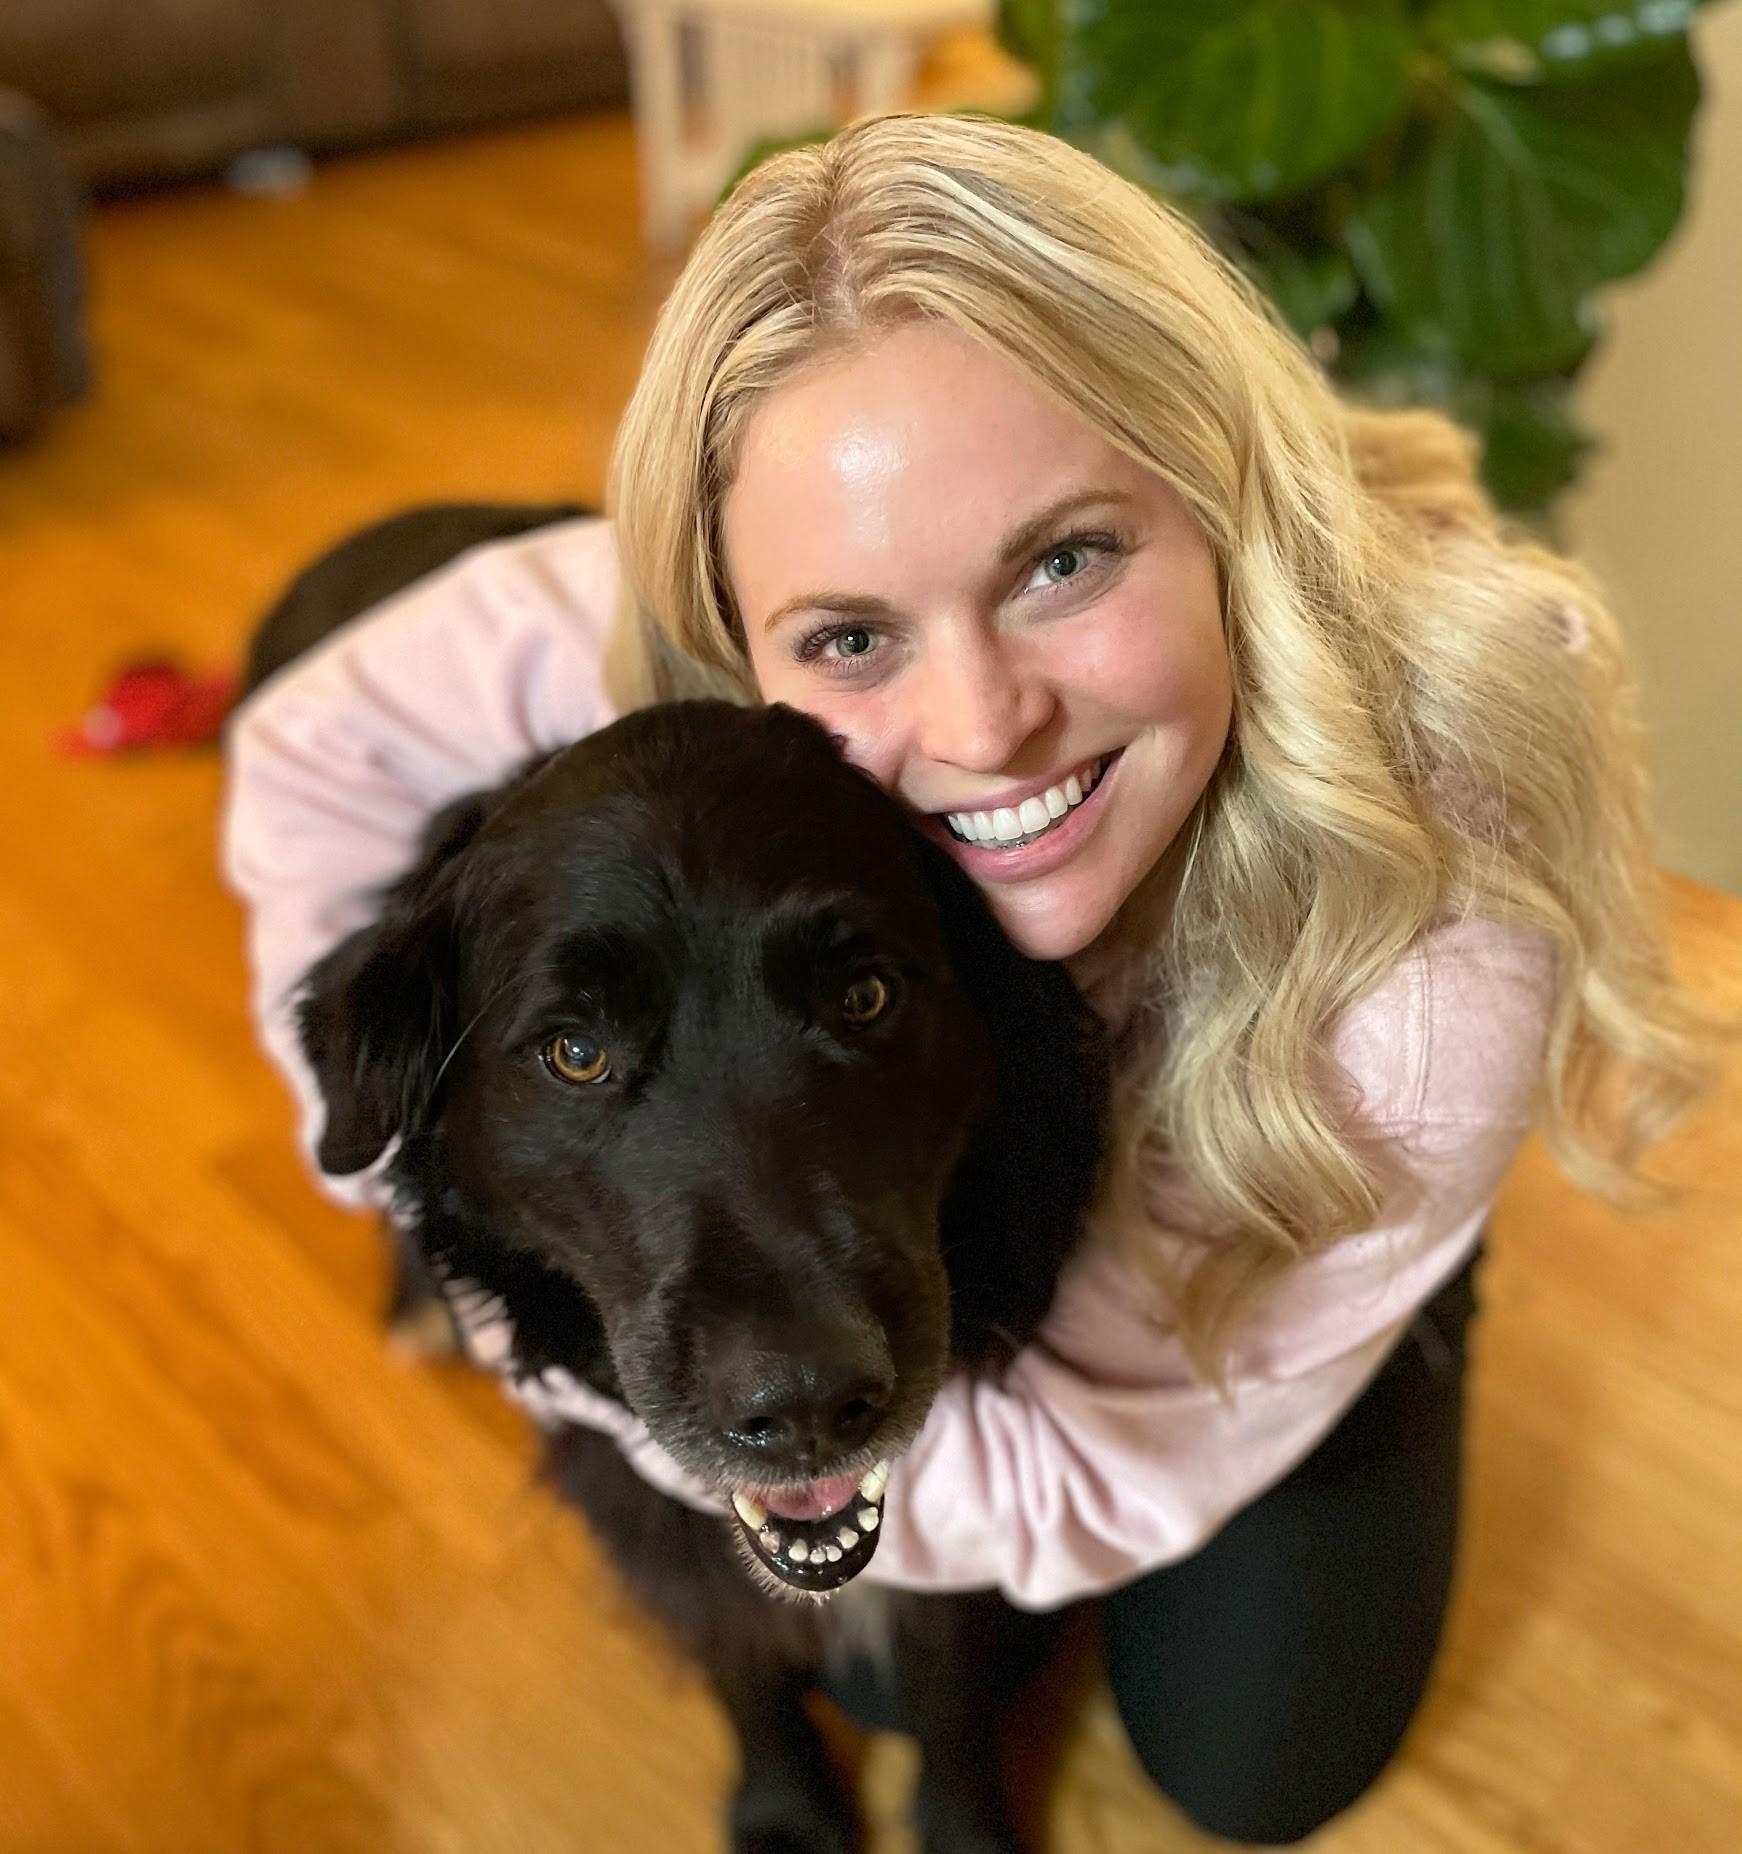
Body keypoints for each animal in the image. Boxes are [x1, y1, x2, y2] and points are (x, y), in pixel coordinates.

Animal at [252, 507, 1111, 1854]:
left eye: (865, 994)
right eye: (576, 1052)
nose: (806, 1405)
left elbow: (948, 1677)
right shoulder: (639, 1486)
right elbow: (733, 1651)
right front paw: (785, 1808)